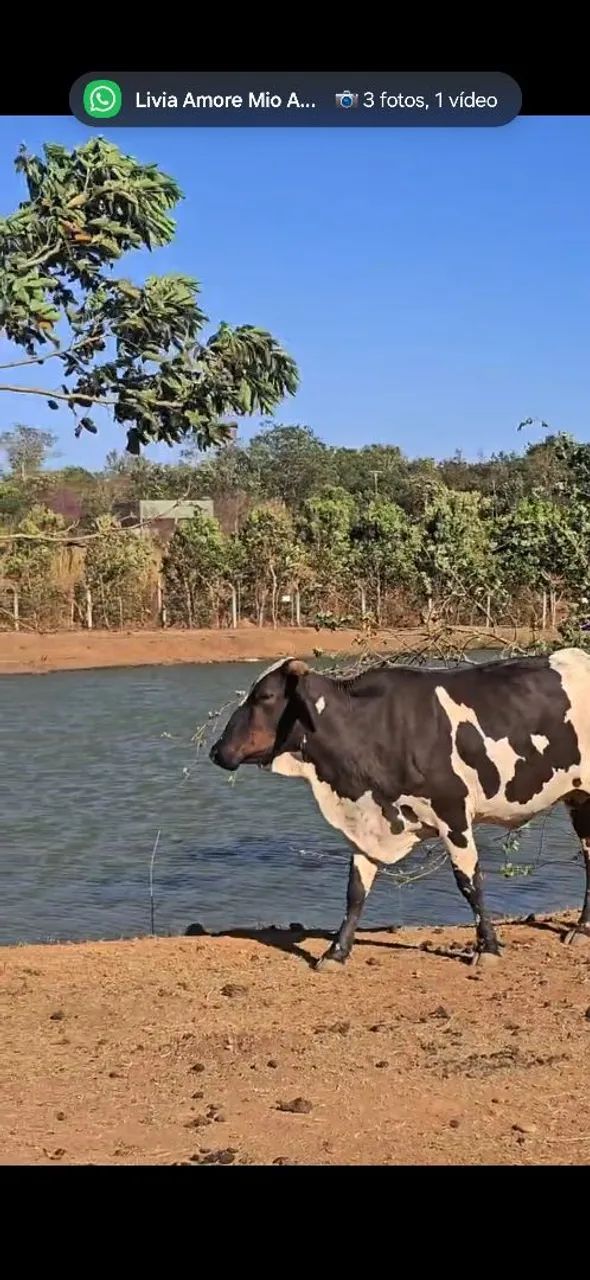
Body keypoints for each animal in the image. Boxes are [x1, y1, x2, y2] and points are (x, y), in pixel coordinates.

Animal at [209, 649, 590, 970]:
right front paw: (336, 952)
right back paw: (583, 928)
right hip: (579, 800)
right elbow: (355, 893)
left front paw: (488, 948)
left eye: (265, 697)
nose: (216, 751)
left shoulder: (452, 813)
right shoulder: (368, 825)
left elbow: (469, 881)